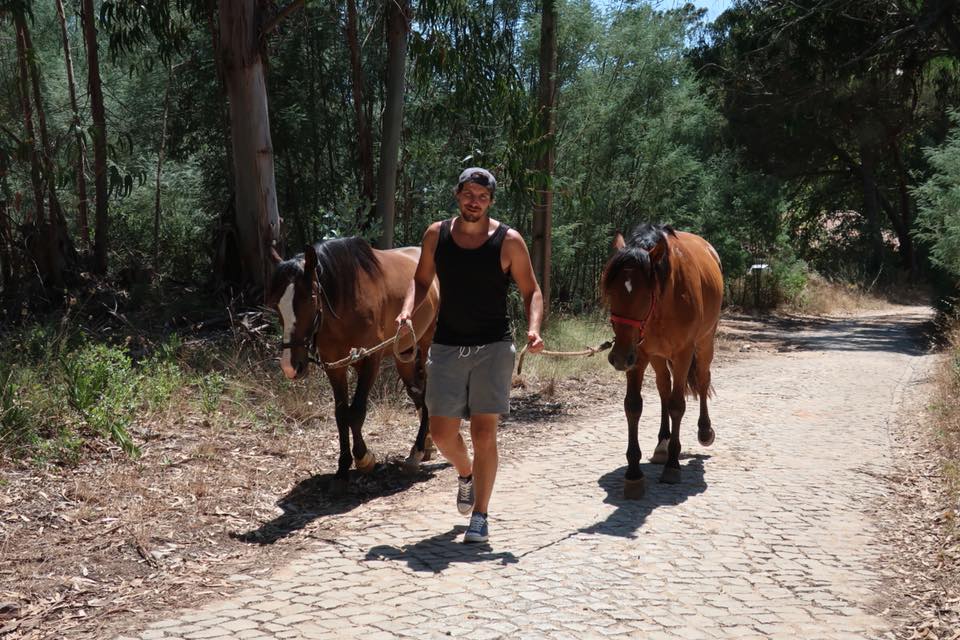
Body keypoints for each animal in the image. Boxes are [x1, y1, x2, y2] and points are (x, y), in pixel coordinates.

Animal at [265, 237, 440, 494]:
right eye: (276, 304)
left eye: (310, 298)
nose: (290, 366)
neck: (346, 302)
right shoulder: (335, 366)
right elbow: (341, 415)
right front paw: (342, 468)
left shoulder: (370, 360)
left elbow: (356, 412)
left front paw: (364, 458)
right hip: (404, 352)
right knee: (417, 392)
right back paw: (426, 444)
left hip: (425, 345)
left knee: (426, 391)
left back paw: (417, 451)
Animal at [600, 223, 723, 499]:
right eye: (611, 291)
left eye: (646, 294)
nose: (619, 357)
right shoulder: (639, 355)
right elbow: (633, 406)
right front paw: (634, 473)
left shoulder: (683, 354)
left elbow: (678, 405)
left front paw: (673, 466)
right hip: (657, 357)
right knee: (664, 388)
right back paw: (662, 443)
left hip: (705, 342)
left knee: (702, 379)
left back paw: (704, 431)